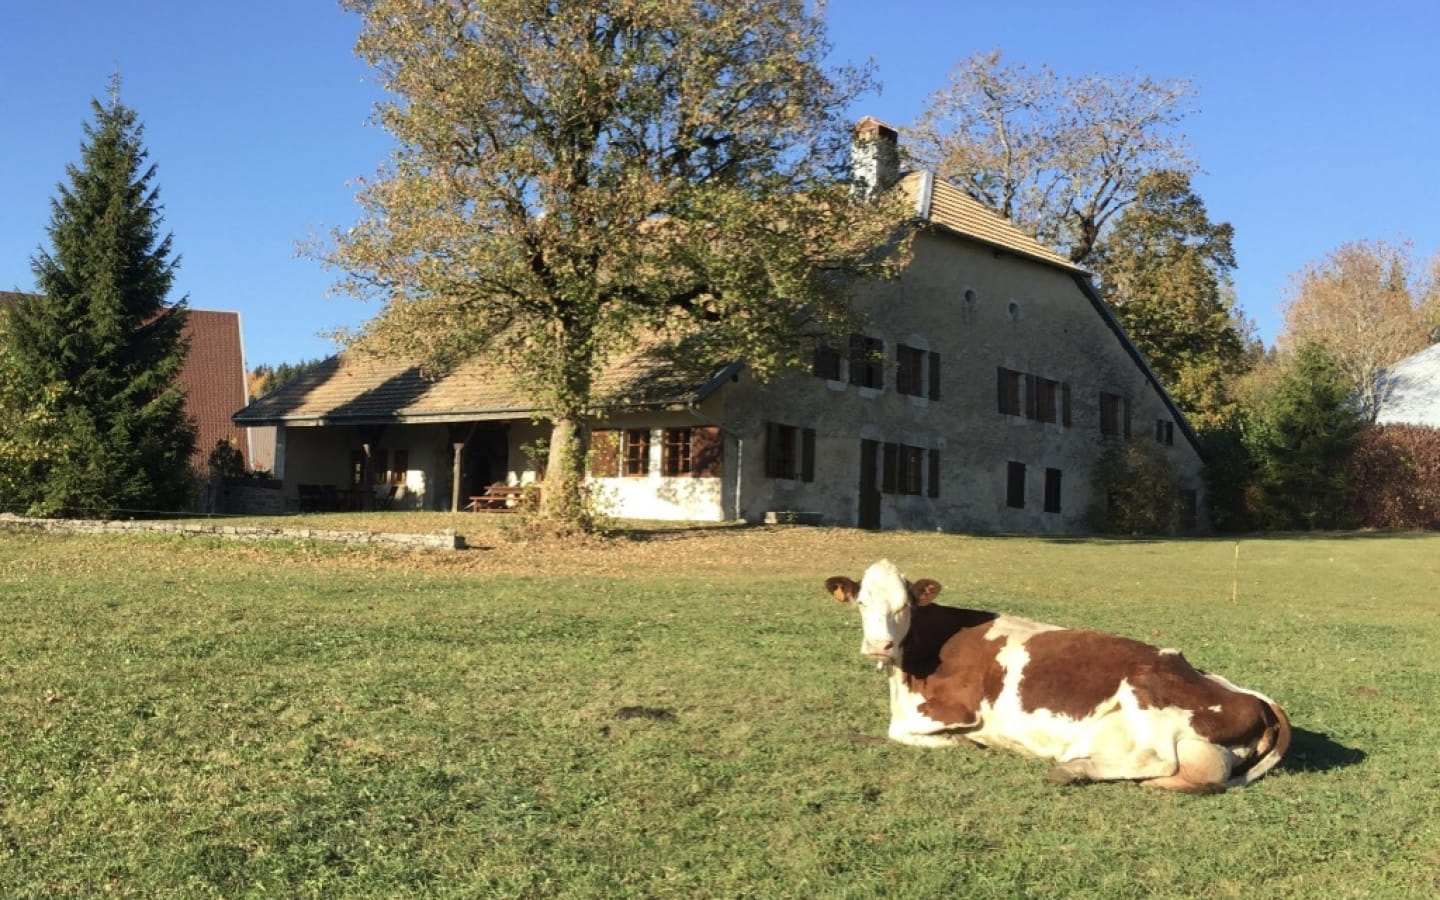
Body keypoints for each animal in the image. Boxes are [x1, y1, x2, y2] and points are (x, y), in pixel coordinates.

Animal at [829, 558, 1290, 789]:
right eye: (861, 603)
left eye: (903, 604)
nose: (878, 645)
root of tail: (1255, 698)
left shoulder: (958, 708)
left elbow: (898, 730)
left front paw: (965, 743)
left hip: (1147, 692)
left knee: (1156, 759)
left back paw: (1071, 768)